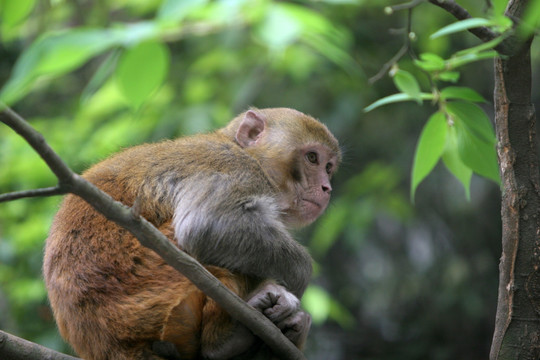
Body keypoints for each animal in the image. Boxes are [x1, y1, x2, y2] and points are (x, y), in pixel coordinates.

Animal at [42, 107, 340, 360]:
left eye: (328, 167)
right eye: (312, 158)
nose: (326, 188)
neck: (247, 153)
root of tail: (101, 344)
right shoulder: (236, 168)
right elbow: (204, 225)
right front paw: (299, 275)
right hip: (148, 284)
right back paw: (225, 339)